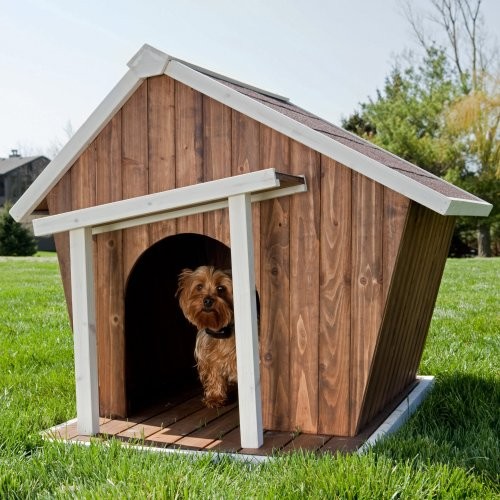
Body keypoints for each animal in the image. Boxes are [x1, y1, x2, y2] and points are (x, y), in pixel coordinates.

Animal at [177, 266, 237, 406]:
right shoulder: (208, 356)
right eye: (199, 286)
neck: (219, 332)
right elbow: (213, 372)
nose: (208, 300)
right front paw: (215, 397)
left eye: (221, 288)